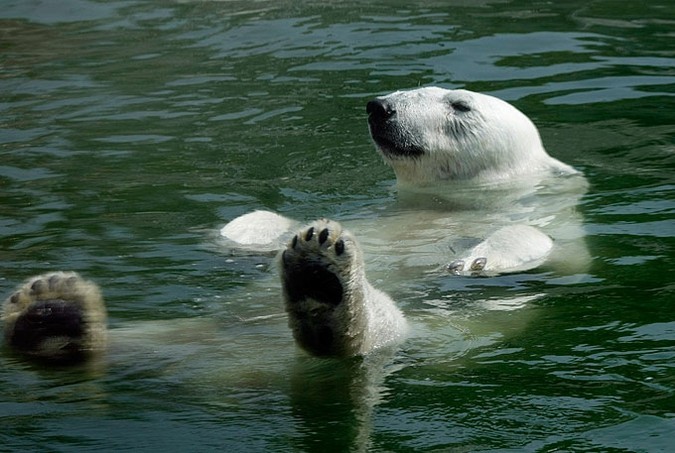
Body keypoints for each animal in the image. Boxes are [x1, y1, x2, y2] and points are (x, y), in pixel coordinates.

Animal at [223, 86, 592, 356]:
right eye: (414, 89)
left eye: (461, 105)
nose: (380, 107)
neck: (451, 202)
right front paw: (243, 231)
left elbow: (560, 251)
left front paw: (475, 260)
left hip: (436, 332)